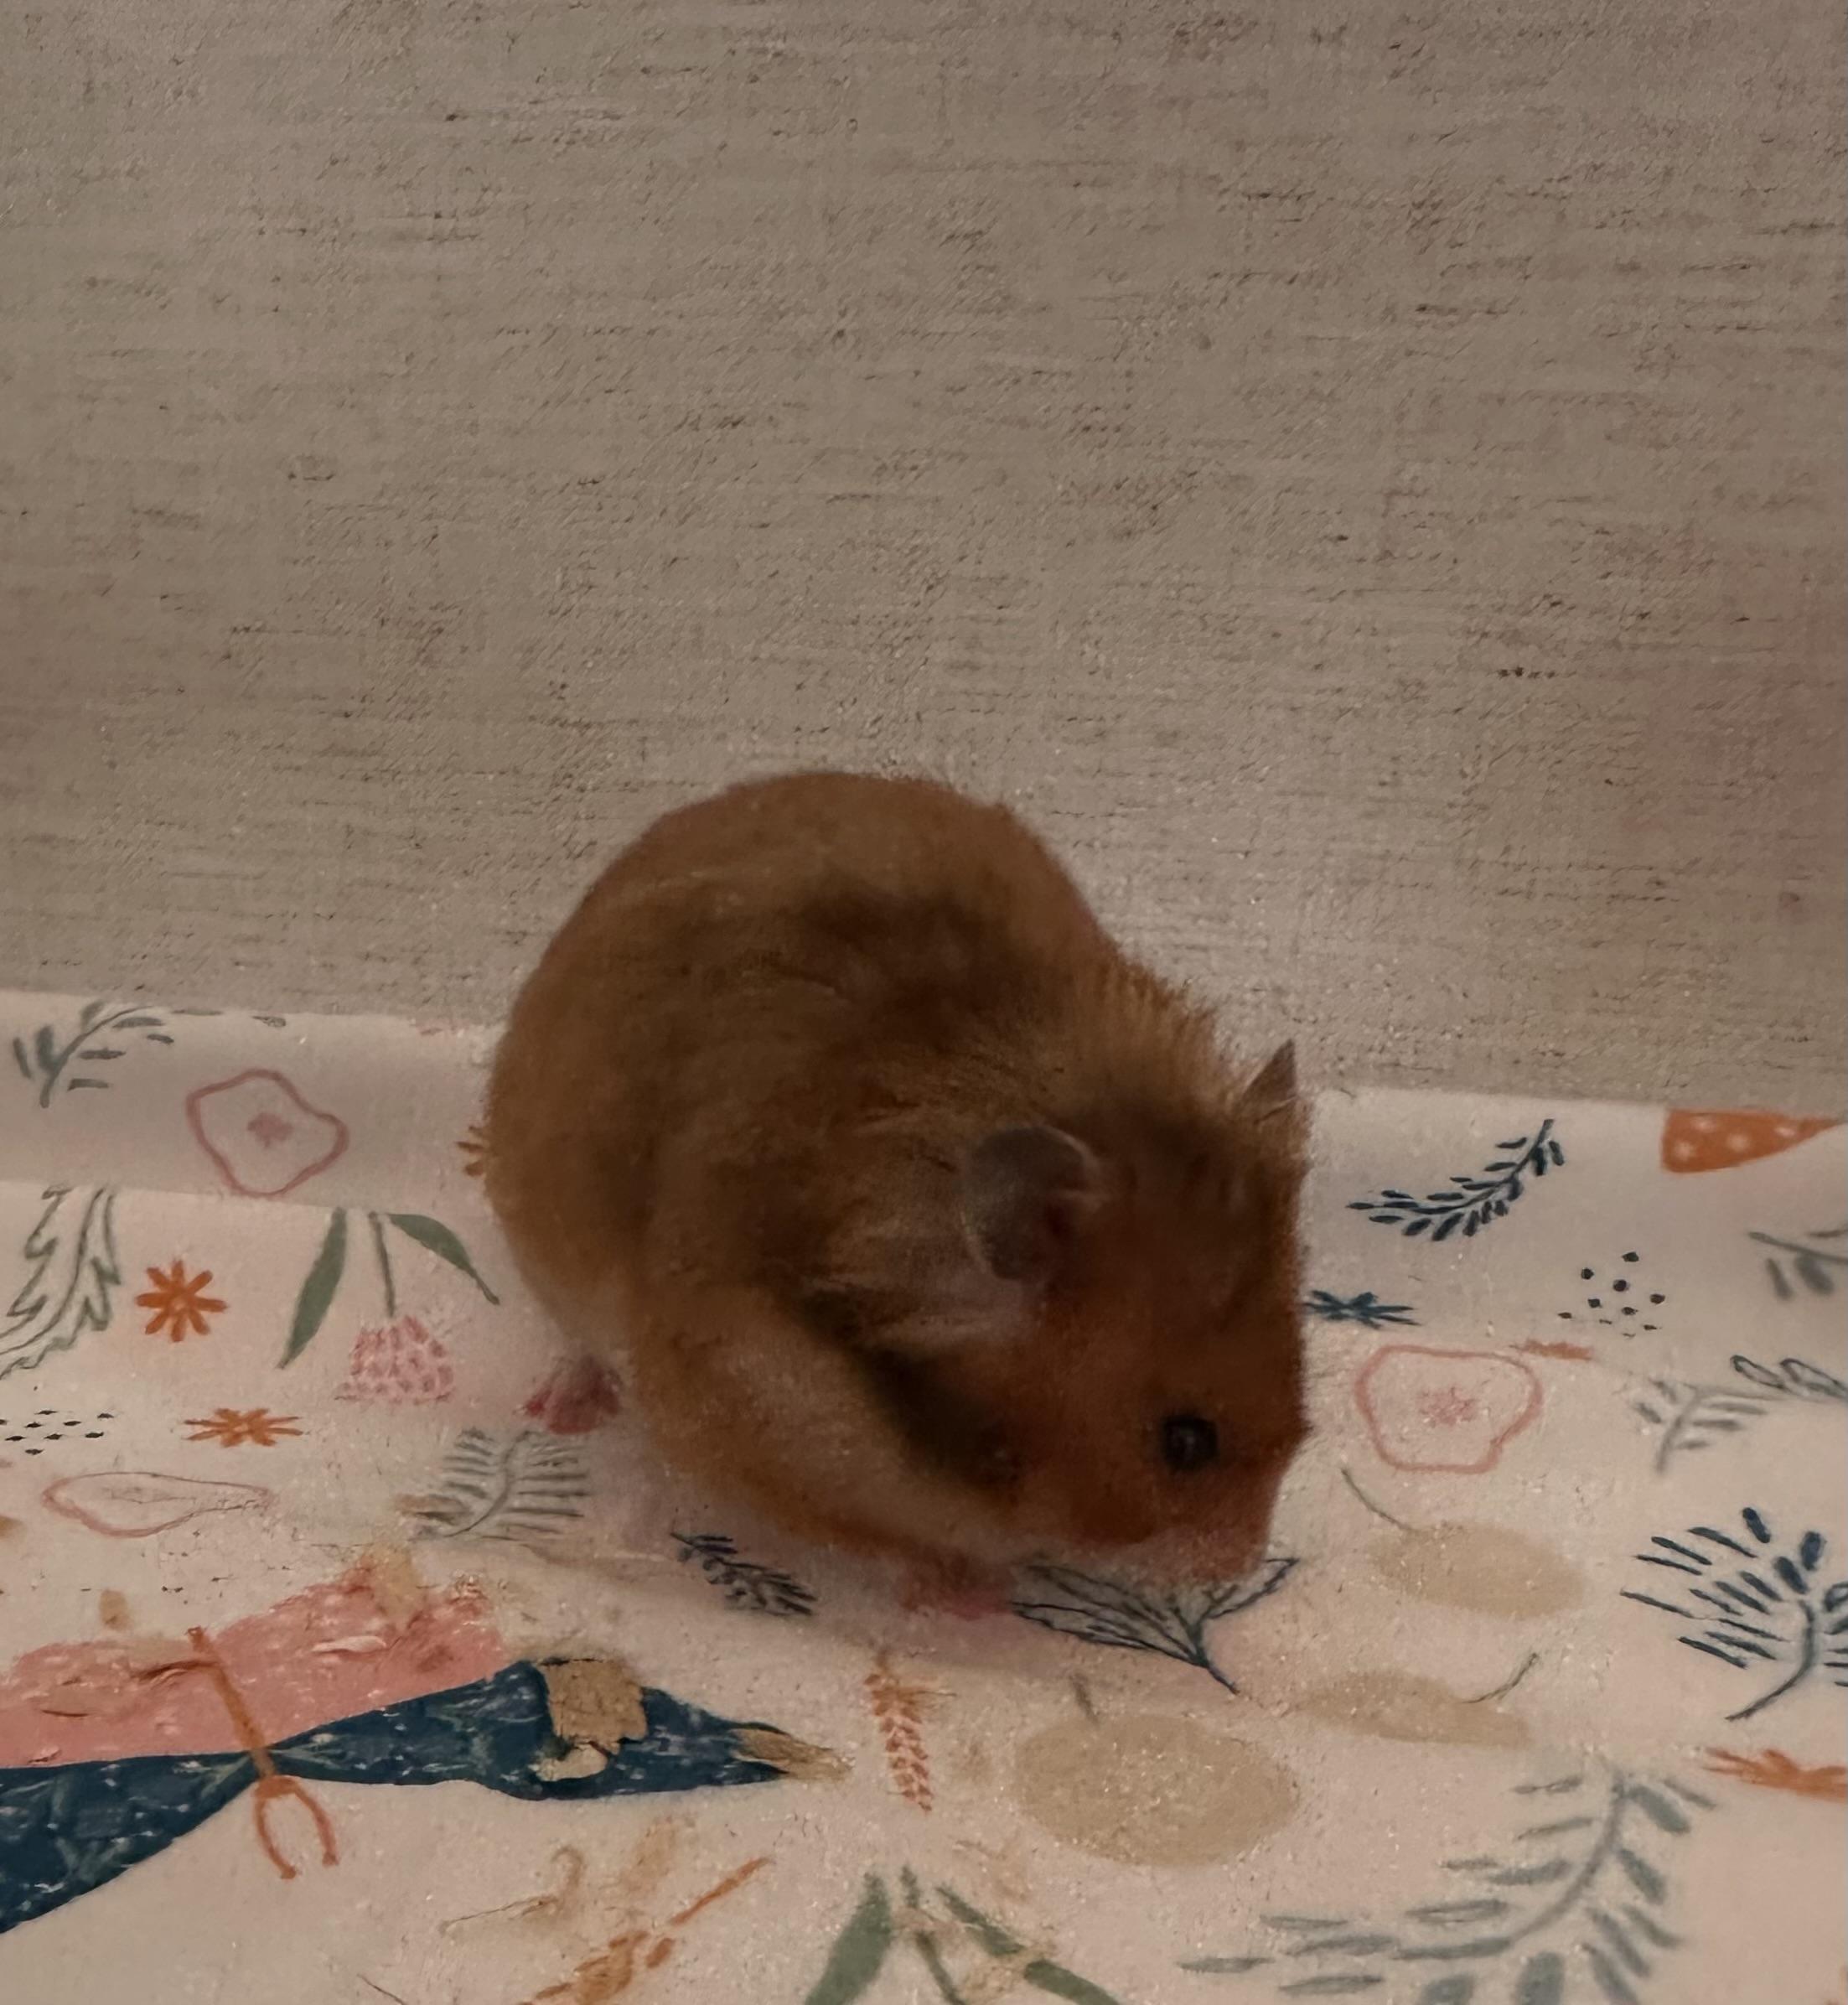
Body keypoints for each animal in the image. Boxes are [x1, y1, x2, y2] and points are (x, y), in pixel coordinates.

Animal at [485, 771, 1307, 1600]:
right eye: (1185, 1441)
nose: (1240, 1565)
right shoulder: (752, 1422)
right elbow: (885, 1545)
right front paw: (972, 1598)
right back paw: (560, 1409)